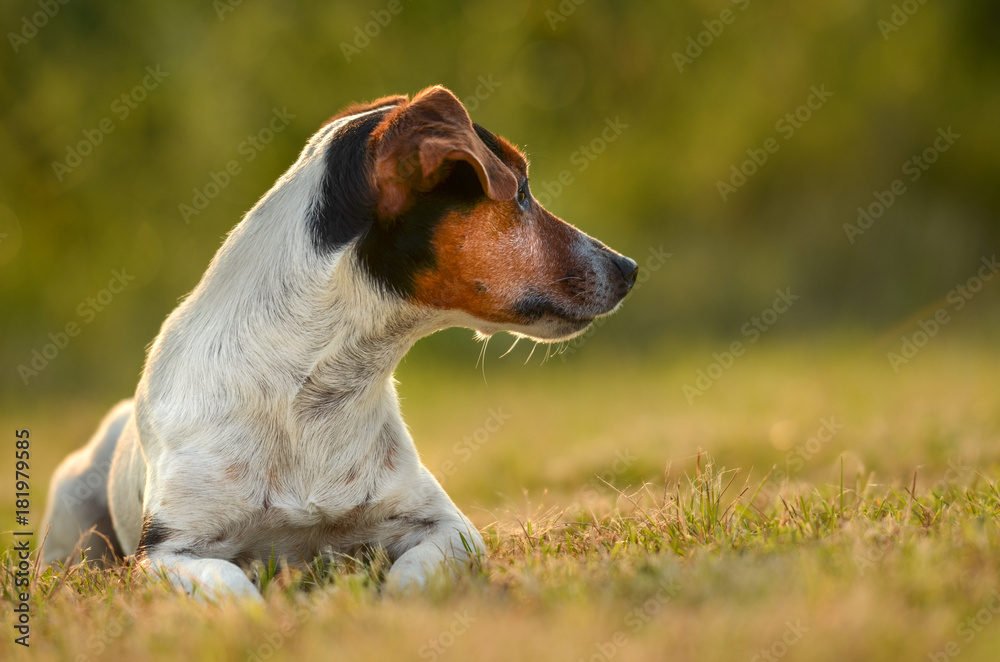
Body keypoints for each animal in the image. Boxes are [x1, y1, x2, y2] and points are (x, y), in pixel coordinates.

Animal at [41, 84, 640, 600]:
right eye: (520, 192)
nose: (629, 267)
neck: (312, 391)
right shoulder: (166, 552)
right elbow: (232, 585)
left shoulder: (446, 526)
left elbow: (410, 576)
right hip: (71, 517)